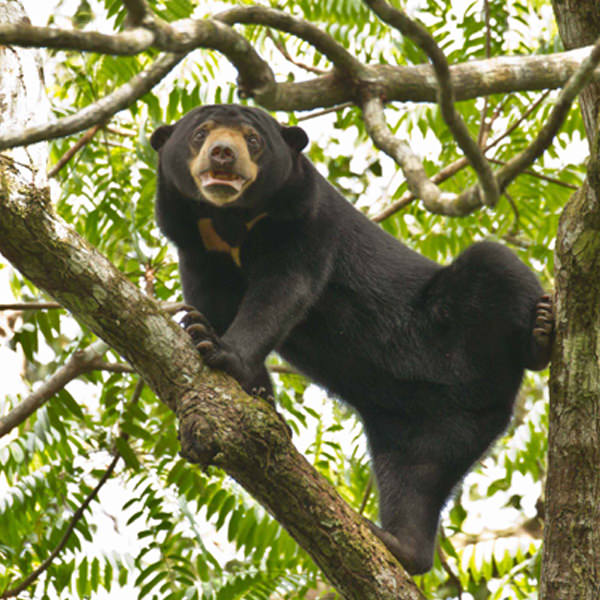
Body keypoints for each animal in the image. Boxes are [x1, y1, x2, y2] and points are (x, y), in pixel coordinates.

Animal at [150, 104, 552, 576]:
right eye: (200, 134)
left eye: (253, 139)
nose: (223, 154)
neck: (231, 221)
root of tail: (495, 396)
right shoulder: (196, 244)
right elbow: (211, 301)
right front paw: (223, 356)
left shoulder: (305, 218)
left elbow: (283, 290)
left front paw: (222, 352)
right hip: (417, 426)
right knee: (418, 476)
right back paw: (400, 545)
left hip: (454, 322)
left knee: (495, 261)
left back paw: (541, 335)